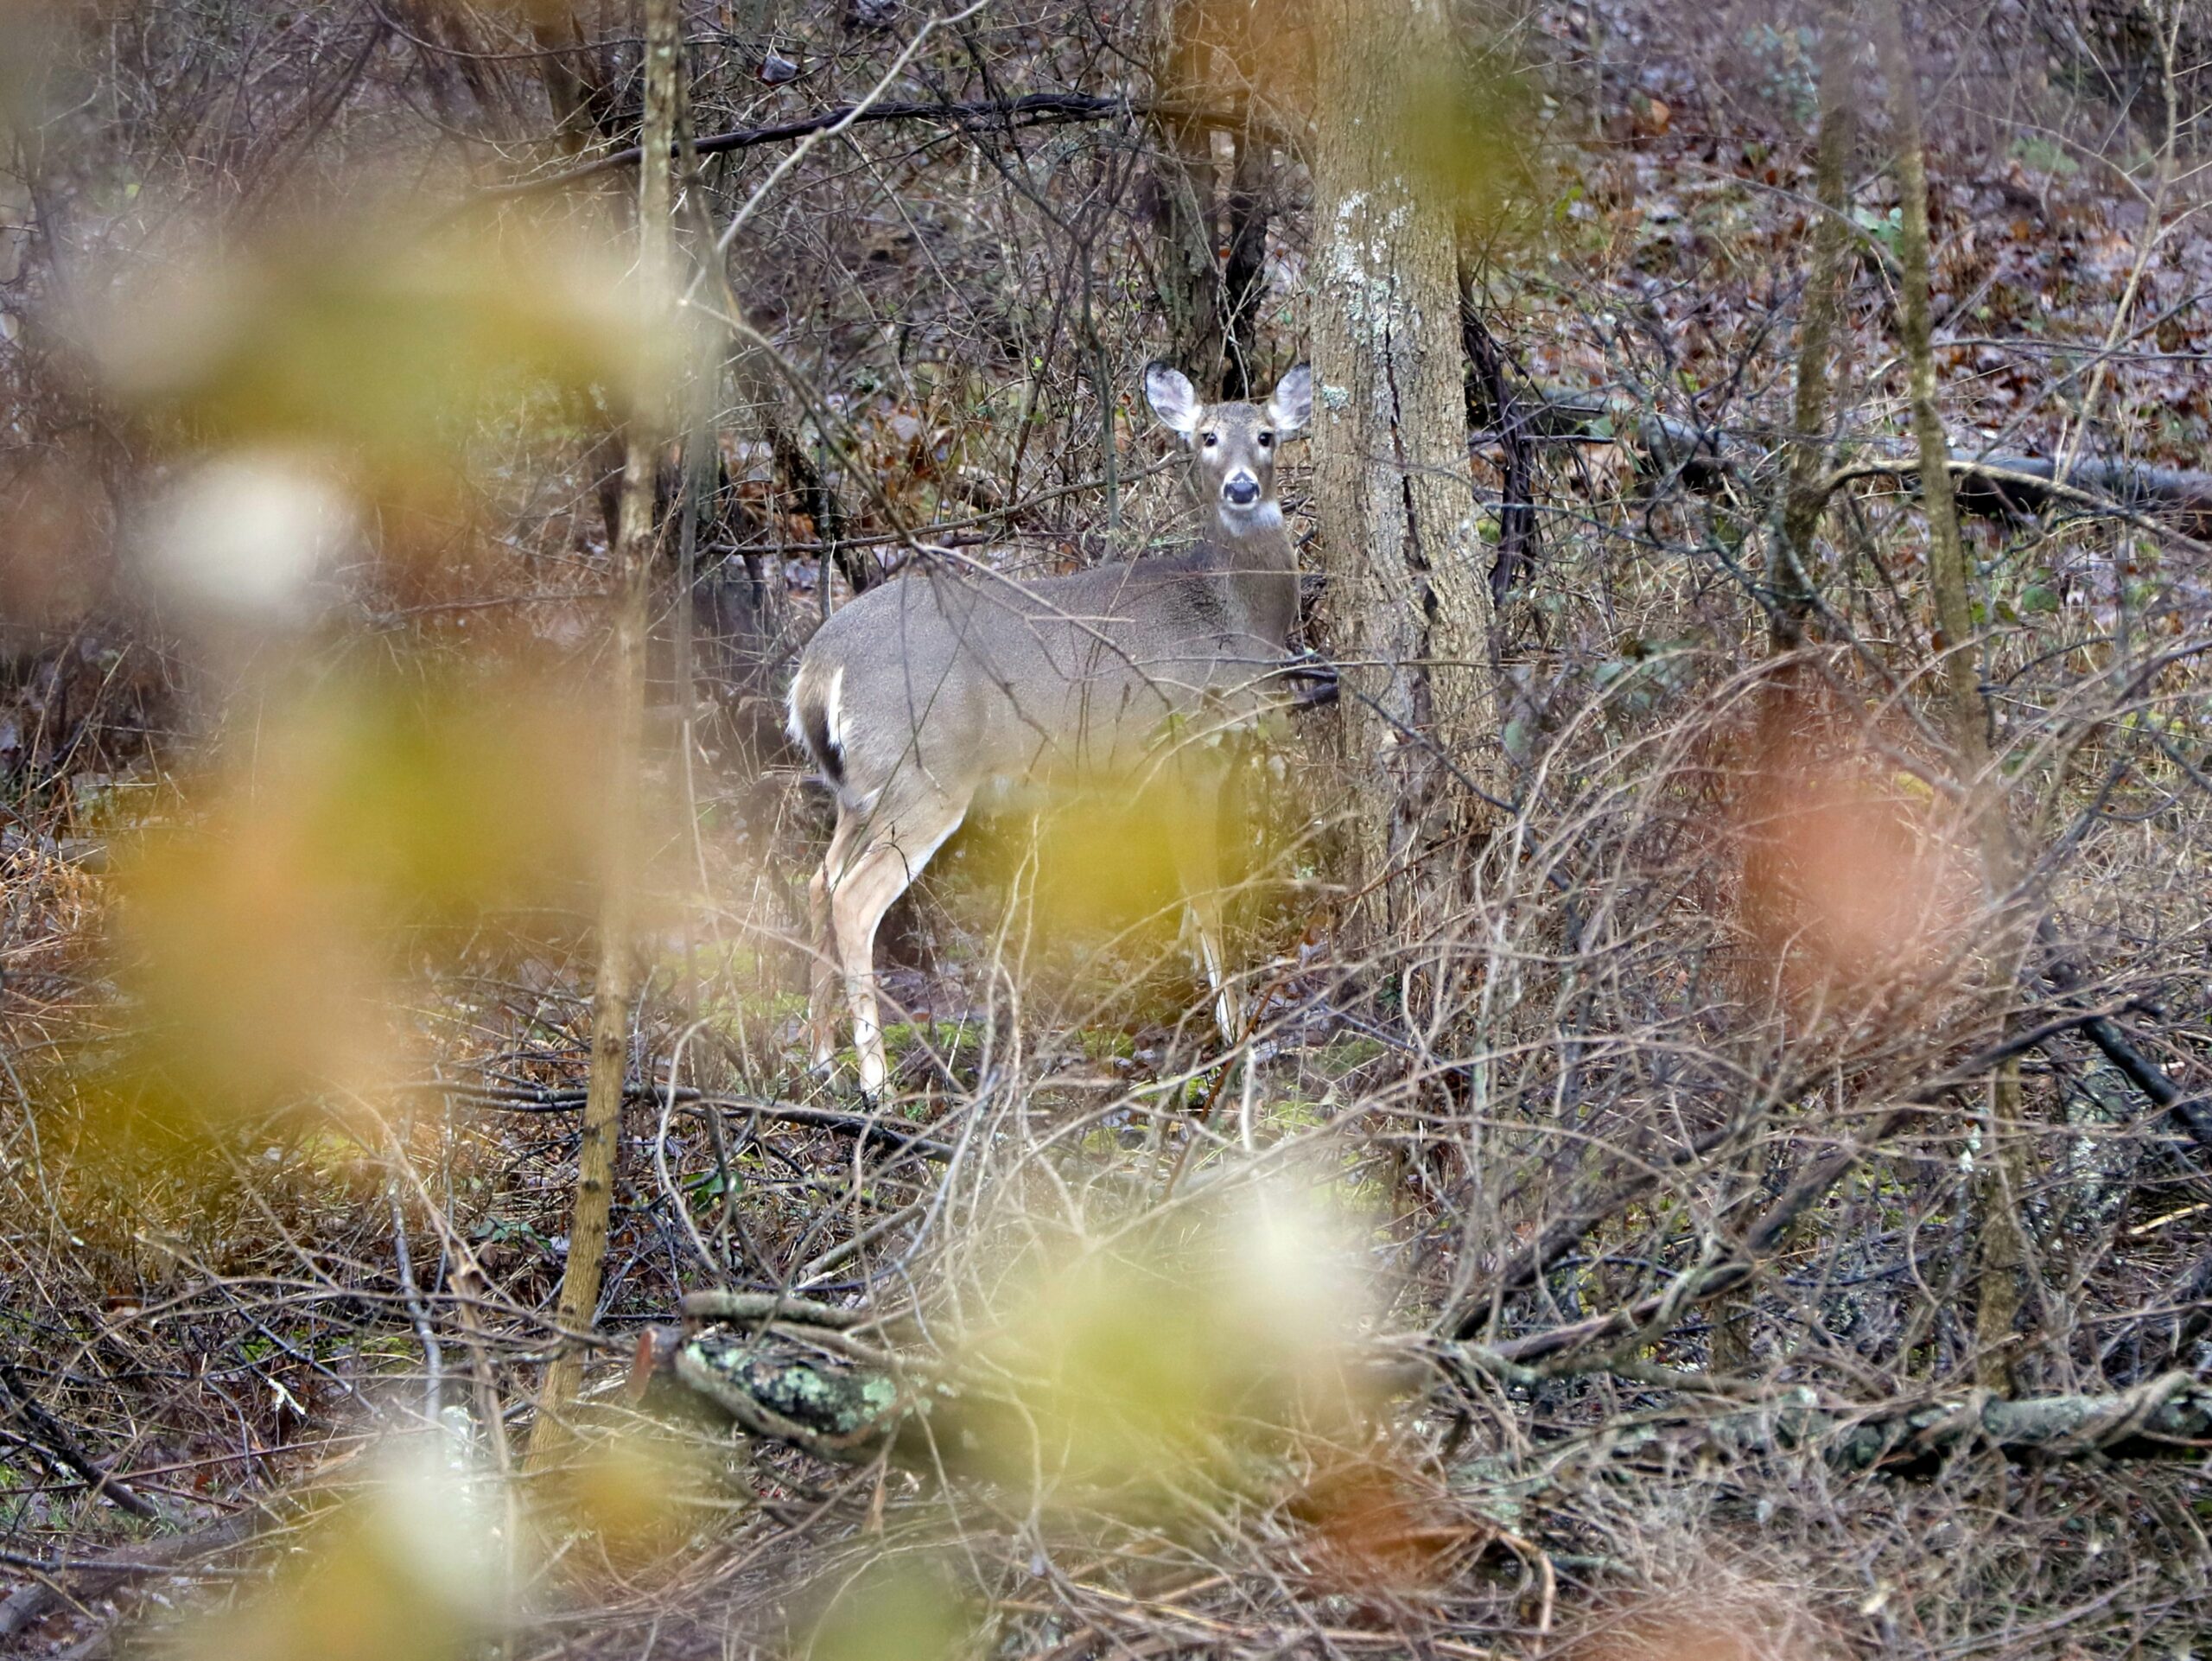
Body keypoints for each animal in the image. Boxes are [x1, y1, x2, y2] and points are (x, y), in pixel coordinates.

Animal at [791, 358, 1309, 1097]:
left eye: (1267, 435)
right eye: (1207, 437)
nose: (1242, 486)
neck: (1229, 614)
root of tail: (818, 666)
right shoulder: (1185, 755)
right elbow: (1207, 893)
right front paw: (1234, 1032)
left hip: (857, 788)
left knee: (819, 881)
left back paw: (820, 1057)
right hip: (921, 774)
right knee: (855, 900)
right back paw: (875, 1081)